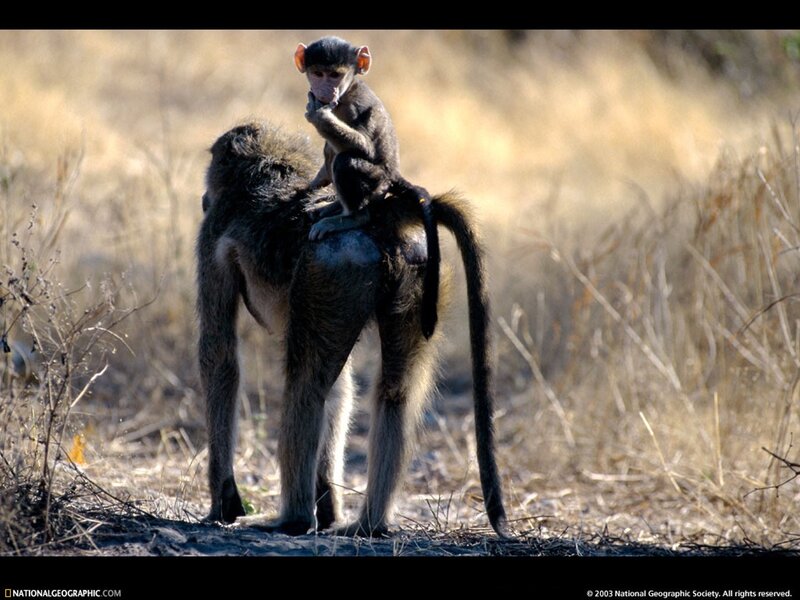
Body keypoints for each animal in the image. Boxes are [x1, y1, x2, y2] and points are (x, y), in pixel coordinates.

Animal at [197, 121, 507, 538]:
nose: (203, 198)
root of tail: (383, 216)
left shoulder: (211, 237)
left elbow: (220, 357)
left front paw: (222, 503)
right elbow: (343, 387)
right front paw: (328, 506)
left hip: (332, 263)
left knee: (306, 384)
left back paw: (292, 519)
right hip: (417, 270)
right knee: (395, 392)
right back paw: (369, 523)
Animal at [294, 36, 440, 340]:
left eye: (335, 75)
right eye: (318, 73)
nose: (326, 90)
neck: (346, 93)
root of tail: (393, 174)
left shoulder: (355, 106)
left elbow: (363, 147)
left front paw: (320, 117)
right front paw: (313, 186)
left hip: (376, 180)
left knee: (346, 160)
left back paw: (350, 217)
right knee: (334, 153)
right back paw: (334, 206)